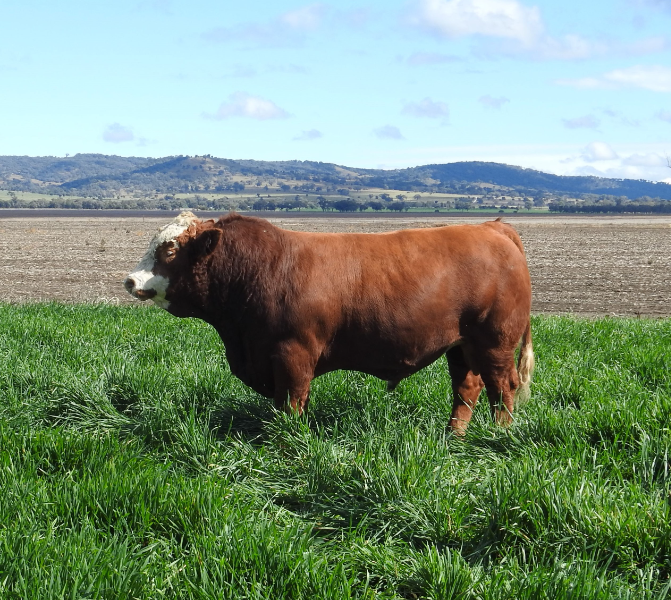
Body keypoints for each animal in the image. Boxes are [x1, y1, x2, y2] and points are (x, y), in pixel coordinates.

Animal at [124, 211, 533, 432]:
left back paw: (498, 435)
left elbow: (291, 405)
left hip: (495, 342)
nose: (130, 280)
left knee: (503, 389)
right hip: (461, 346)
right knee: (467, 388)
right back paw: (453, 437)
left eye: (170, 250)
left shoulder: (293, 355)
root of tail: (491, 227)